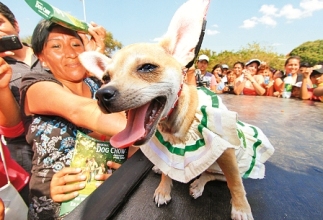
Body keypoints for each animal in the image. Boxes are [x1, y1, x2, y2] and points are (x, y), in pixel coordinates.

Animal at [79, 0, 274, 219]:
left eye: (147, 67)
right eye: (105, 78)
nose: (101, 94)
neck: (172, 126)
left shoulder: (225, 152)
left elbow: (235, 184)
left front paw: (241, 208)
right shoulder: (166, 149)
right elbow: (167, 171)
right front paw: (164, 188)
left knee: (213, 175)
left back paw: (198, 185)